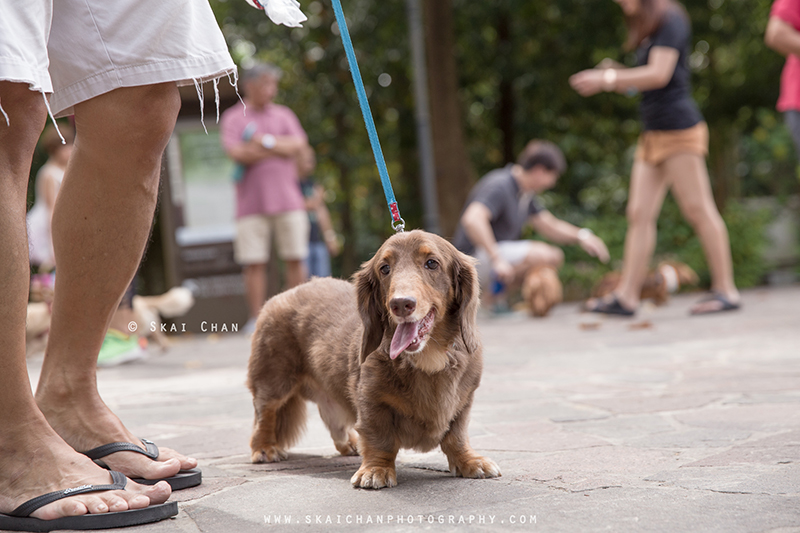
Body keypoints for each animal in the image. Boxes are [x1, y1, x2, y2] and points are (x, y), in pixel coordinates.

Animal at [247, 231, 504, 488]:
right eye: (385, 268)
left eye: (432, 263)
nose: (400, 304)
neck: (427, 360)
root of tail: (283, 294)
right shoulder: (371, 401)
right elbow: (380, 438)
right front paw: (375, 470)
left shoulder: (463, 402)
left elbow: (456, 435)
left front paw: (470, 461)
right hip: (274, 381)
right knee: (265, 414)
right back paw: (265, 448)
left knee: (332, 417)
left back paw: (350, 443)